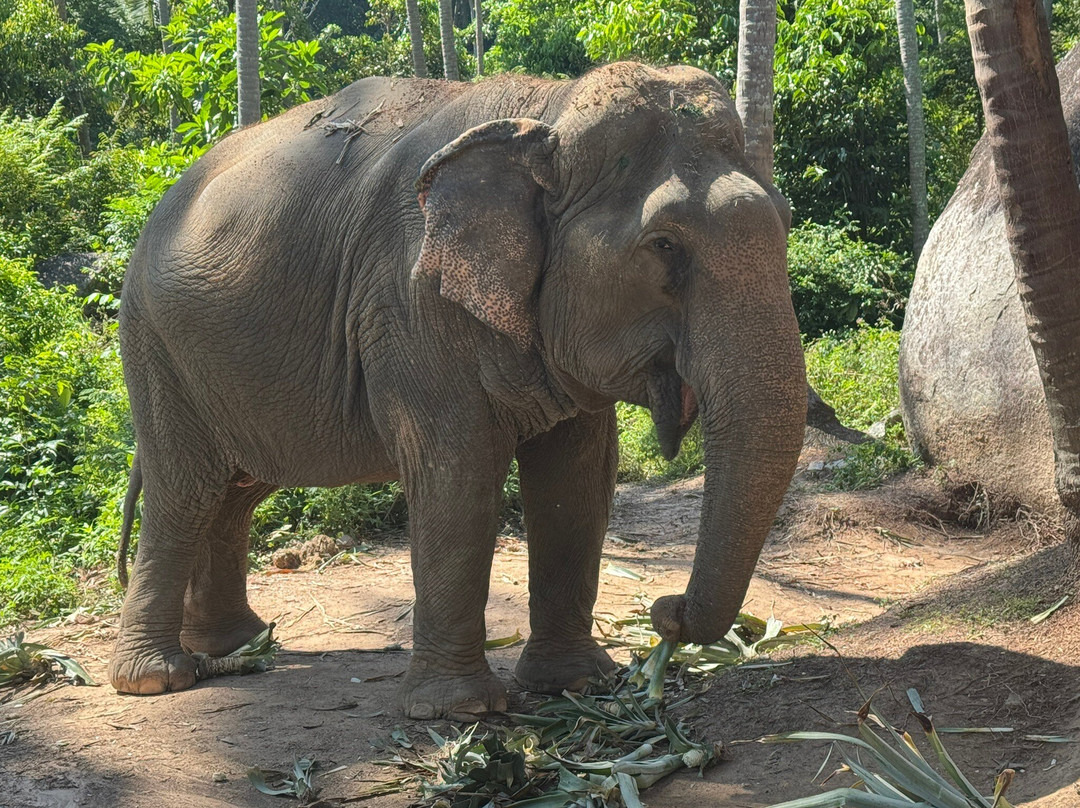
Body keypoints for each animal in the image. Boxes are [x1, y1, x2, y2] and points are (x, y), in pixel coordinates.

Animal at [109, 61, 807, 720]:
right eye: (664, 245)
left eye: (788, 221)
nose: (666, 612)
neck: (548, 107)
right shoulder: (408, 301)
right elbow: (456, 471)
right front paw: (459, 710)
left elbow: (578, 478)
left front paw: (578, 684)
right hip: (154, 346)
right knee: (185, 491)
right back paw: (156, 679)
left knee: (235, 492)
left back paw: (241, 646)